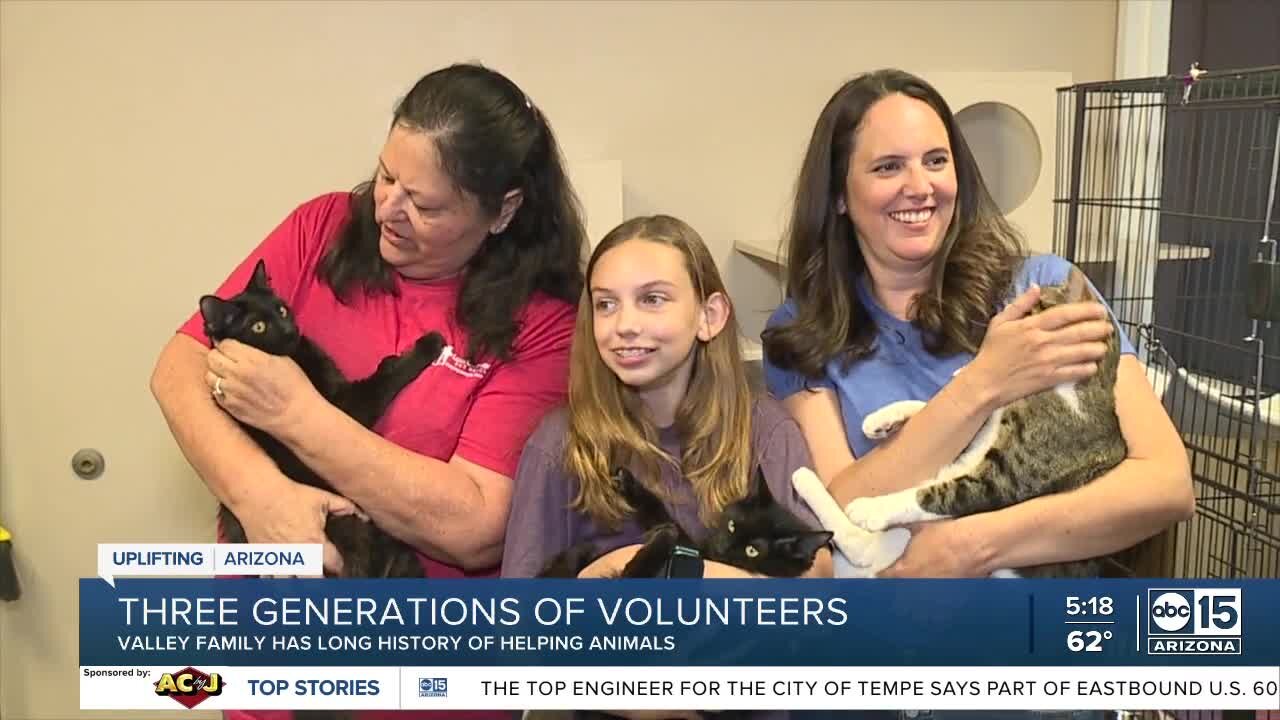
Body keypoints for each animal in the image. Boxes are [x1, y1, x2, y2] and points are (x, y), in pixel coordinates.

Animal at [537, 466, 829, 576]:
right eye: (732, 525)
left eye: (752, 550)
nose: (723, 547)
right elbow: (661, 513)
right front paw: (628, 482)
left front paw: (664, 536)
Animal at [844, 275, 1126, 576]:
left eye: (1033, 306)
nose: (1002, 309)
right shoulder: (983, 428)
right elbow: (938, 411)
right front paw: (883, 418)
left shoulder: (1006, 479)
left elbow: (938, 495)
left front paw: (870, 509)